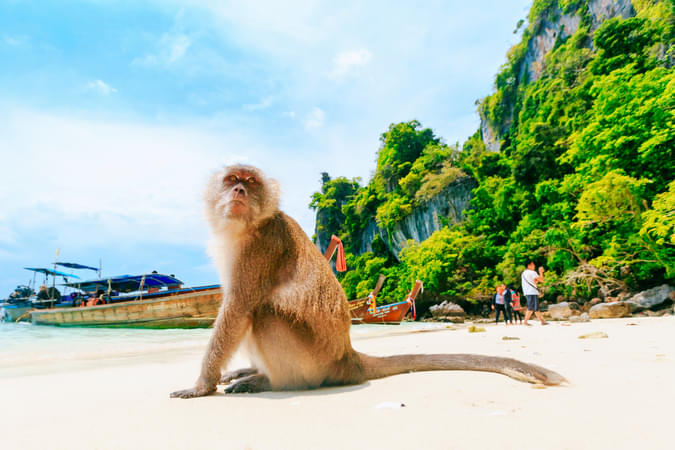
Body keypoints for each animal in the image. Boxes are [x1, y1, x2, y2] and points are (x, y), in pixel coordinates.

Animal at [170, 164, 565, 399]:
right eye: (231, 181)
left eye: (250, 183)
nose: (238, 192)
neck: (248, 226)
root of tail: (348, 357)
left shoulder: (260, 248)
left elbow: (237, 310)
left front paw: (201, 386)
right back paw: (253, 371)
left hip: (312, 362)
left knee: (263, 312)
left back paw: (270, 381)